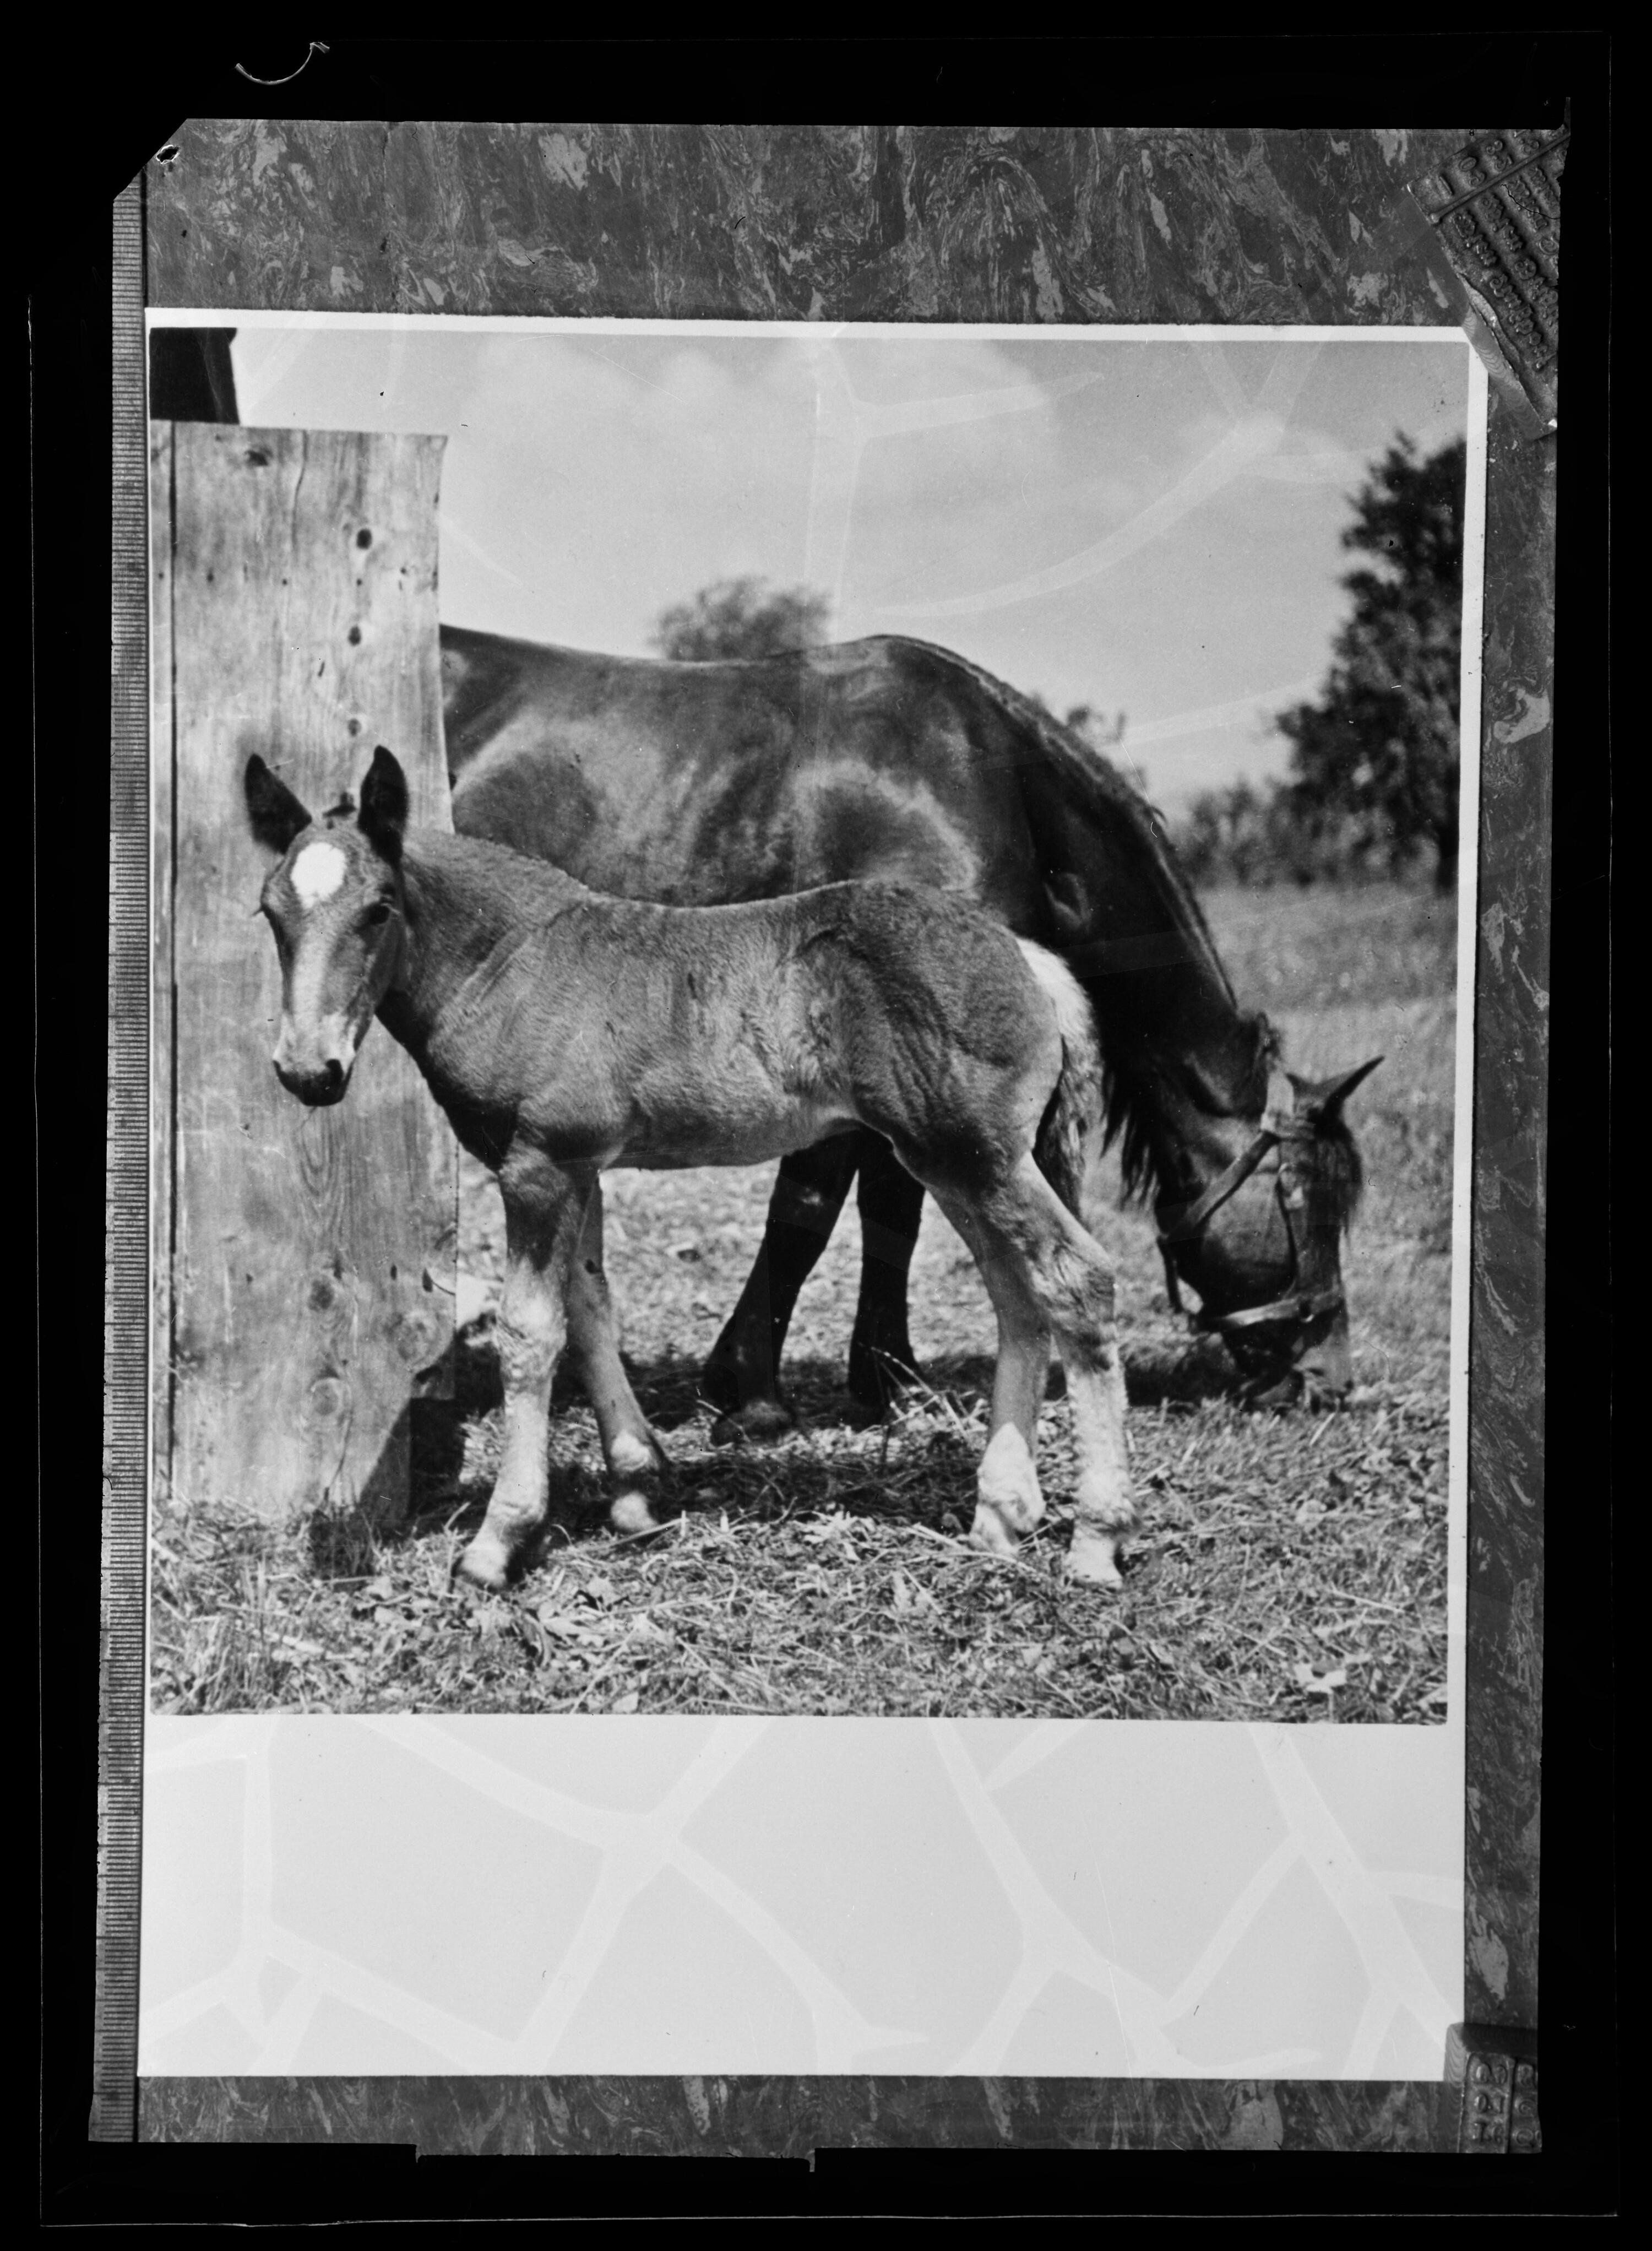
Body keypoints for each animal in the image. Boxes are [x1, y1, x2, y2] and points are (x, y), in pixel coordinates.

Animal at [244, 747, 1140, 1594]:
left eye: (378, 908)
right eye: (270, 911)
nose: (309, 1070)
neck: (513, 961)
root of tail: (1026, 953)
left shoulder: (538, 1166)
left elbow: (531, 1334)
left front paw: (497, 1544)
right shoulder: (583, 1166)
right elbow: (592, 1308)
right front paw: (639, 1491)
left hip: (975, 1156)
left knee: (1078, 1280)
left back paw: (1095, 1541)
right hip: (957, 1163)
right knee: (1017, 1295)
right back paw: (1000, 1514)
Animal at [441, 625, 1381, 1422]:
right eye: (1308, 1205)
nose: (1330, 1378)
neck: (984, 781)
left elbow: (883, 1205)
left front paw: (875, 1371)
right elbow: (823, 1205)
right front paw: (767, 1385)